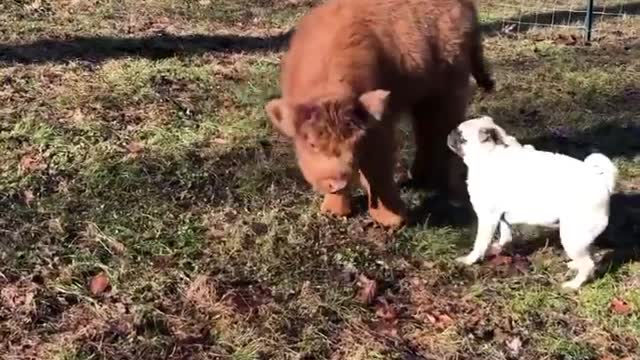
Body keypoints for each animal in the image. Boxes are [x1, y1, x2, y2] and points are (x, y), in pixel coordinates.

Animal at [262, 0, 492, 226]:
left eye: (355, 143)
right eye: (311, 144)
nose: (338, 182)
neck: (328, 90)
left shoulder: (380, 127)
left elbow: (377, 169)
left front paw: (393, 221)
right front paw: (332, 212)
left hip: (451, 82)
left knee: (442, 129)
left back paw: (442, 187)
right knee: (425, 129)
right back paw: (419, 179)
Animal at [448, 116, 616, 290]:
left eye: (462, 138)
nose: (450, 134)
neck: (492, 153)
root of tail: (601, 181)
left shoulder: (487, 217)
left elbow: (480, 243)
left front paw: (470, 260)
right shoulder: (501, 216)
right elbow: (505, 235)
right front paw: (500, 247)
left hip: (572, 236)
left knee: (588, 264)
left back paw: (573, 285)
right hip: (581, 236)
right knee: (589, 256)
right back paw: (575, 266)